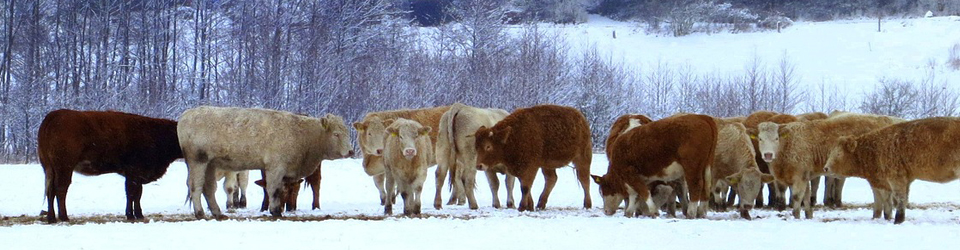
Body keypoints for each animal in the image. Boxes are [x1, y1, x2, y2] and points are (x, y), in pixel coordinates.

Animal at [36, 109, 183, 223]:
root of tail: (54, 115)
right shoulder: (134, 173)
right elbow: (132, 194)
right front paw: (131, 215)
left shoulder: (136, 175)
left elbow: (137, 195)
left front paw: (139, 214)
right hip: (64, 167)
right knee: (60, 189)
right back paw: (64, 217)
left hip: (49, 168)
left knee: (50, 191)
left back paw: (51, 218)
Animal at [178, 106, 354, 218]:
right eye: (336, 134)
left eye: (347, 132)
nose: (351, 151)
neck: (303, 134)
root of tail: (186, 116)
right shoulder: (275, 168)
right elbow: (273, 190)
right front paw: (275, 212)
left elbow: (282, 190)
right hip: (198, 162)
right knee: (195, 186)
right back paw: (200, 213)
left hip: (211, 164)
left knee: (209, 188)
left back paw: (217, 213)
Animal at [588, 114, 716, 218]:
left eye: (602, 191)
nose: (606, 211)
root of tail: (702, 117)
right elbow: (635, 194)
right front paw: (629, 212)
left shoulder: (630, 174)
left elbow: (643, 192)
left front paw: (653, 211)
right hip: (706, 166)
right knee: (706, 187)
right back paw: (701, 213)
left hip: (692, 167)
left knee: (696, 186)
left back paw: (691, 213)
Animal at [820, 117, 960, 225]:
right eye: (830, 152)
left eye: (838, 154)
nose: (825, 168)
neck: (874, 149)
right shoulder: (884, 182)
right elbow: (885, 201)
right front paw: (886, 217)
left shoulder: (896, 178)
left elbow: (899, 199)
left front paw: (898, 220)